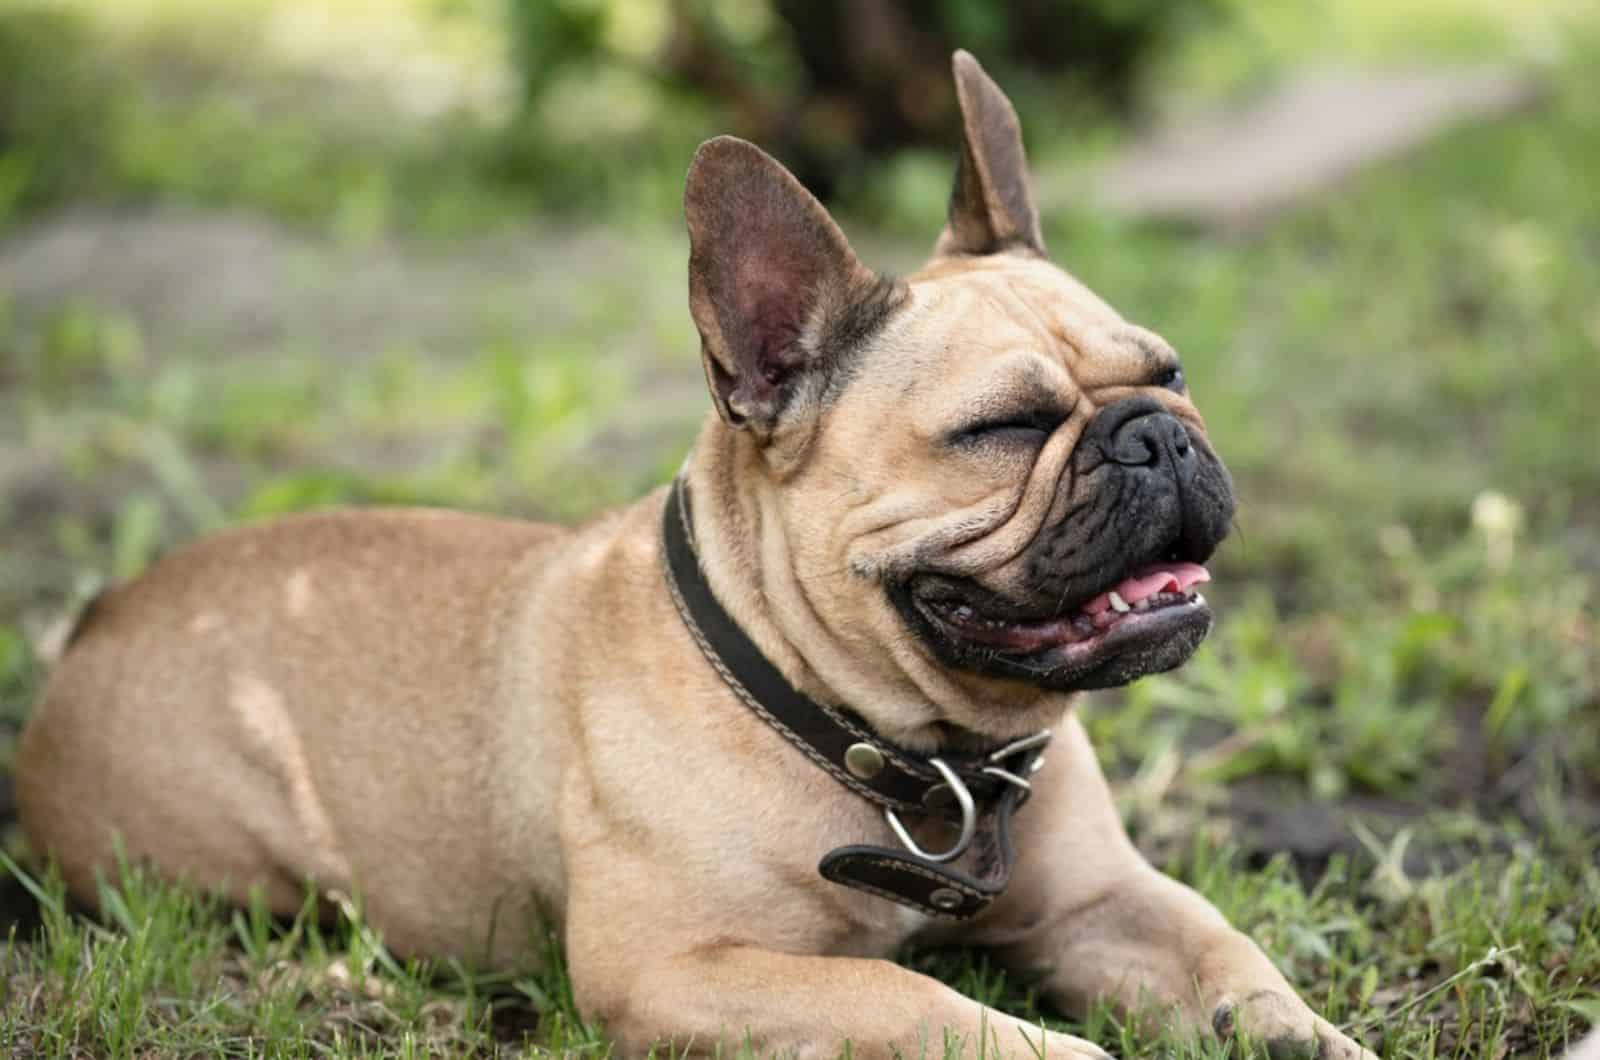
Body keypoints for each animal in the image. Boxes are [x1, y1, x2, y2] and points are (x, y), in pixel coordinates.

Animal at [15, 52, 1376, 1060]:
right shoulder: (677, 969)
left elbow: (1223, 945)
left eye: (1169, 370)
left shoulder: (1105, 901)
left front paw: (1300, 1030)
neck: (893, 746)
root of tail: (99, 616)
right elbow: (912, 999)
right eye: (1002, 428)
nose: (1159, 433)